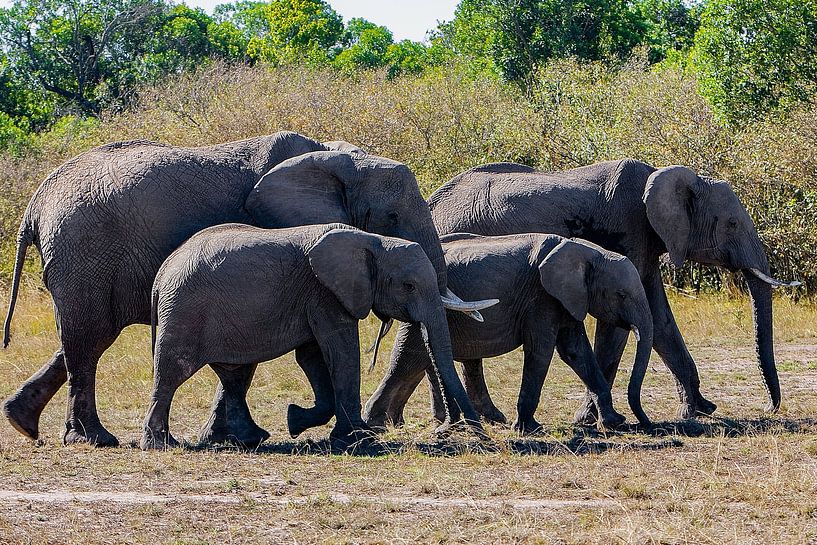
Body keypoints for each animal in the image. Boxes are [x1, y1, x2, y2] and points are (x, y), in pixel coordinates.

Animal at [141, 224, 493, 450]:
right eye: (408, 286)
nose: (485, 438)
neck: (373, 241)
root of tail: (163, 271)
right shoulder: (326, 293)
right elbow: (341, 350)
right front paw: (360, 439)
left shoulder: (317, 297)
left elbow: (313, 357)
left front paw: (297, 421)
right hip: (184, 311)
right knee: (173, 371)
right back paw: (160, 444)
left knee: (234, 374)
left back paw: (250, 439)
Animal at [363, 233, 655, 433]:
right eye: (621, 295)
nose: (646, 423)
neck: (586, 251)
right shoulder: (542, 298)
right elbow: (541, 350)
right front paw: (529, 429)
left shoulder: (567, 299)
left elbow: (576, 352)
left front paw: (614, 422)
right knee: (407, 359)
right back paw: (376, 423)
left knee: (415, 362)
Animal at [419, 160, 799, 425]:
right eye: (732, 224)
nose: (768, 408)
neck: (664, 175)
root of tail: (432, 201)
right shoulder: (628, 232)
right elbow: (617, 327)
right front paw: (588, 419)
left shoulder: (647, 244)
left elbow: (660, 321)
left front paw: (697, 409)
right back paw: (466, 418)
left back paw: (476, 417)